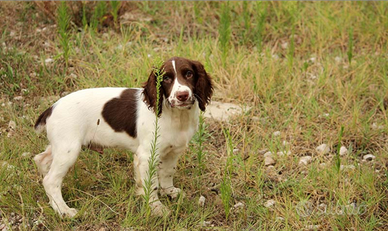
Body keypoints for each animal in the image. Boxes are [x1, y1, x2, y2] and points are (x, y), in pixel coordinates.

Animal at [33, 56, 214, 217]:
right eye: (167, 78)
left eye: (189, 74)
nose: (182, 95)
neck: (176, 115)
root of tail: (51, 108)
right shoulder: (147, 155)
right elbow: (151, 184)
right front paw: (157, 208)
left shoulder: (172, 151)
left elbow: (168, 172)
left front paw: (170, 192)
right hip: (69, 148)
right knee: (51, 180)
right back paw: (64, 210)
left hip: (60, 145)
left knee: (41, 159)